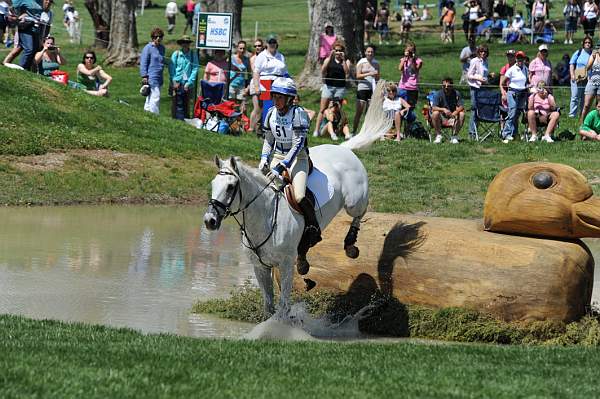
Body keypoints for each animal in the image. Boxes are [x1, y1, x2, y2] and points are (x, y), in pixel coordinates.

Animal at [204, 145, 368, 318]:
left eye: (230, 187)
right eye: (213, 184)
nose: (209, 220)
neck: (266, 216)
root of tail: (344, 149)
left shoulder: (286, 264)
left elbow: (283, 307)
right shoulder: (260, 267)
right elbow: (268, 306)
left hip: (354, 202)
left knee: (360, 212)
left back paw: (350, 245)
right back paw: (303, 264)